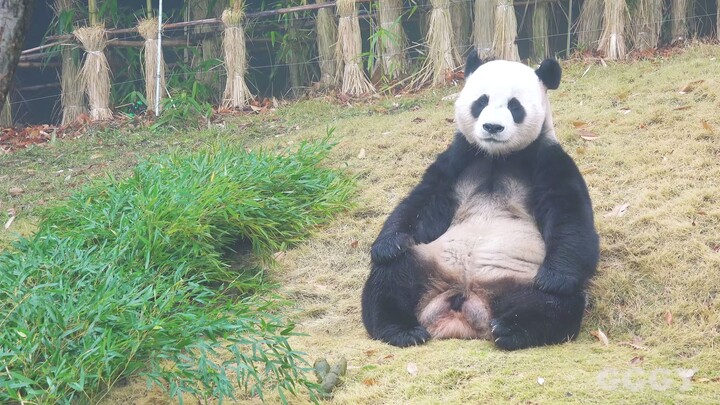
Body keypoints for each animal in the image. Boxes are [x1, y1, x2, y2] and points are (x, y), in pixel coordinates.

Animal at [360, 49, 600, 350]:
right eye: (481, 101)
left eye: (514, 106)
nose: (492, 127)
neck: (498, 157)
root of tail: (463, 303)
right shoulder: (458, 159)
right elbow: (422, 202)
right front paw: (388, 245)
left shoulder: (548, 160)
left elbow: (569, 215)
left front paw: (554, 278)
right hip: (427, 261)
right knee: (390, 277)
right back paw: (402, 330)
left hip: (518, 277)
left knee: (556, 303)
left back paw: (512, 329)